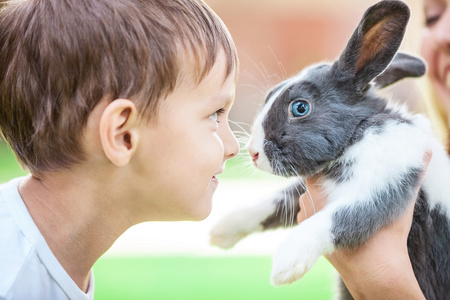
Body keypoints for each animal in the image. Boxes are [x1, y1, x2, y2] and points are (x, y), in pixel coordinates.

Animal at [210, 1, 450, 298]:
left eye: (300, 108)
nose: (253, 153)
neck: (357, 135)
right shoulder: (306, 193)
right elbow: (277, 199)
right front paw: (223, 230)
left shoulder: (381, 186)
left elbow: (338, 218)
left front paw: (286, 265)